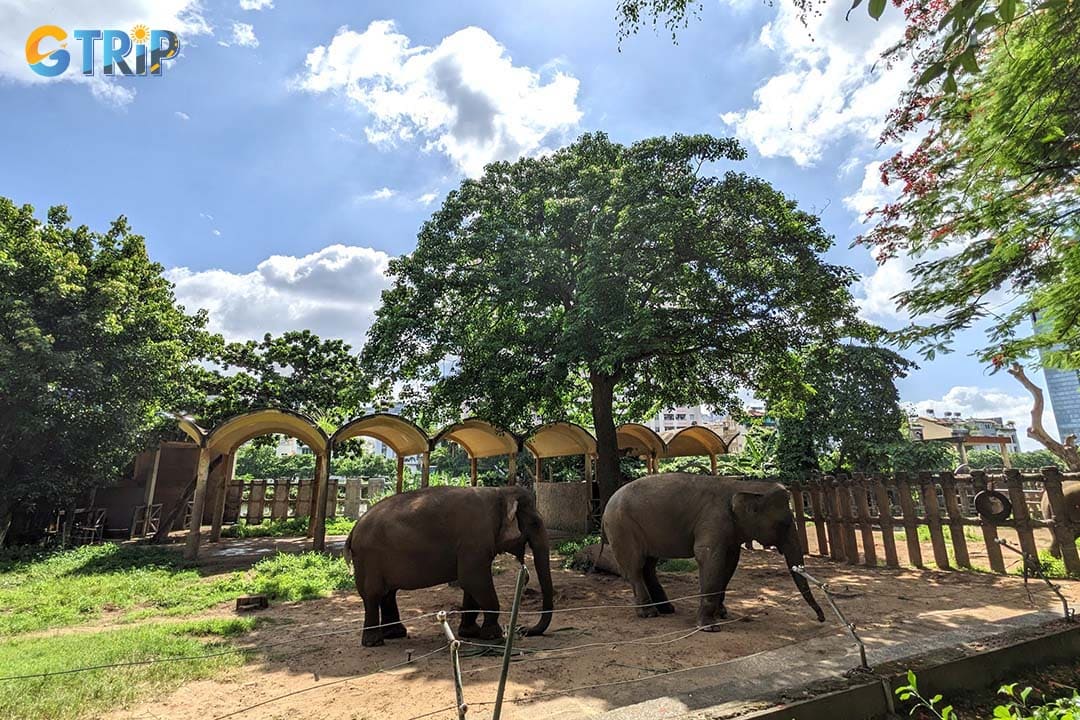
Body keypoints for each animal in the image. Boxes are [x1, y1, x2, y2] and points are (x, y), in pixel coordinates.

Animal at [343, 485, 554, 647]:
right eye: (535, 523)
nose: (524, 629)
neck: (500, 491)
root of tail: (353, 529)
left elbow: (471, 585)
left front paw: (470, 632)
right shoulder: (475, 539)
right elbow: (474, 580)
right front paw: (493, 635)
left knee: (389, 593)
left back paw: (396, 634)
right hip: (369, 559)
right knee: (373, 595)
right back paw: (374, 642)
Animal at [601, 473, 826, 629]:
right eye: (783, 524)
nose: (821, 618)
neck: (744, 486)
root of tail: (605, 507)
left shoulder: (731, 531)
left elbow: (730, 561)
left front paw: (722, 614)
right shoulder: (714, 520)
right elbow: (710, 558)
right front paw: (709, 627)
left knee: (649, 565)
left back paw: (667, 609)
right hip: (622, 528)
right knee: (636, 567)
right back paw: (649, 613)